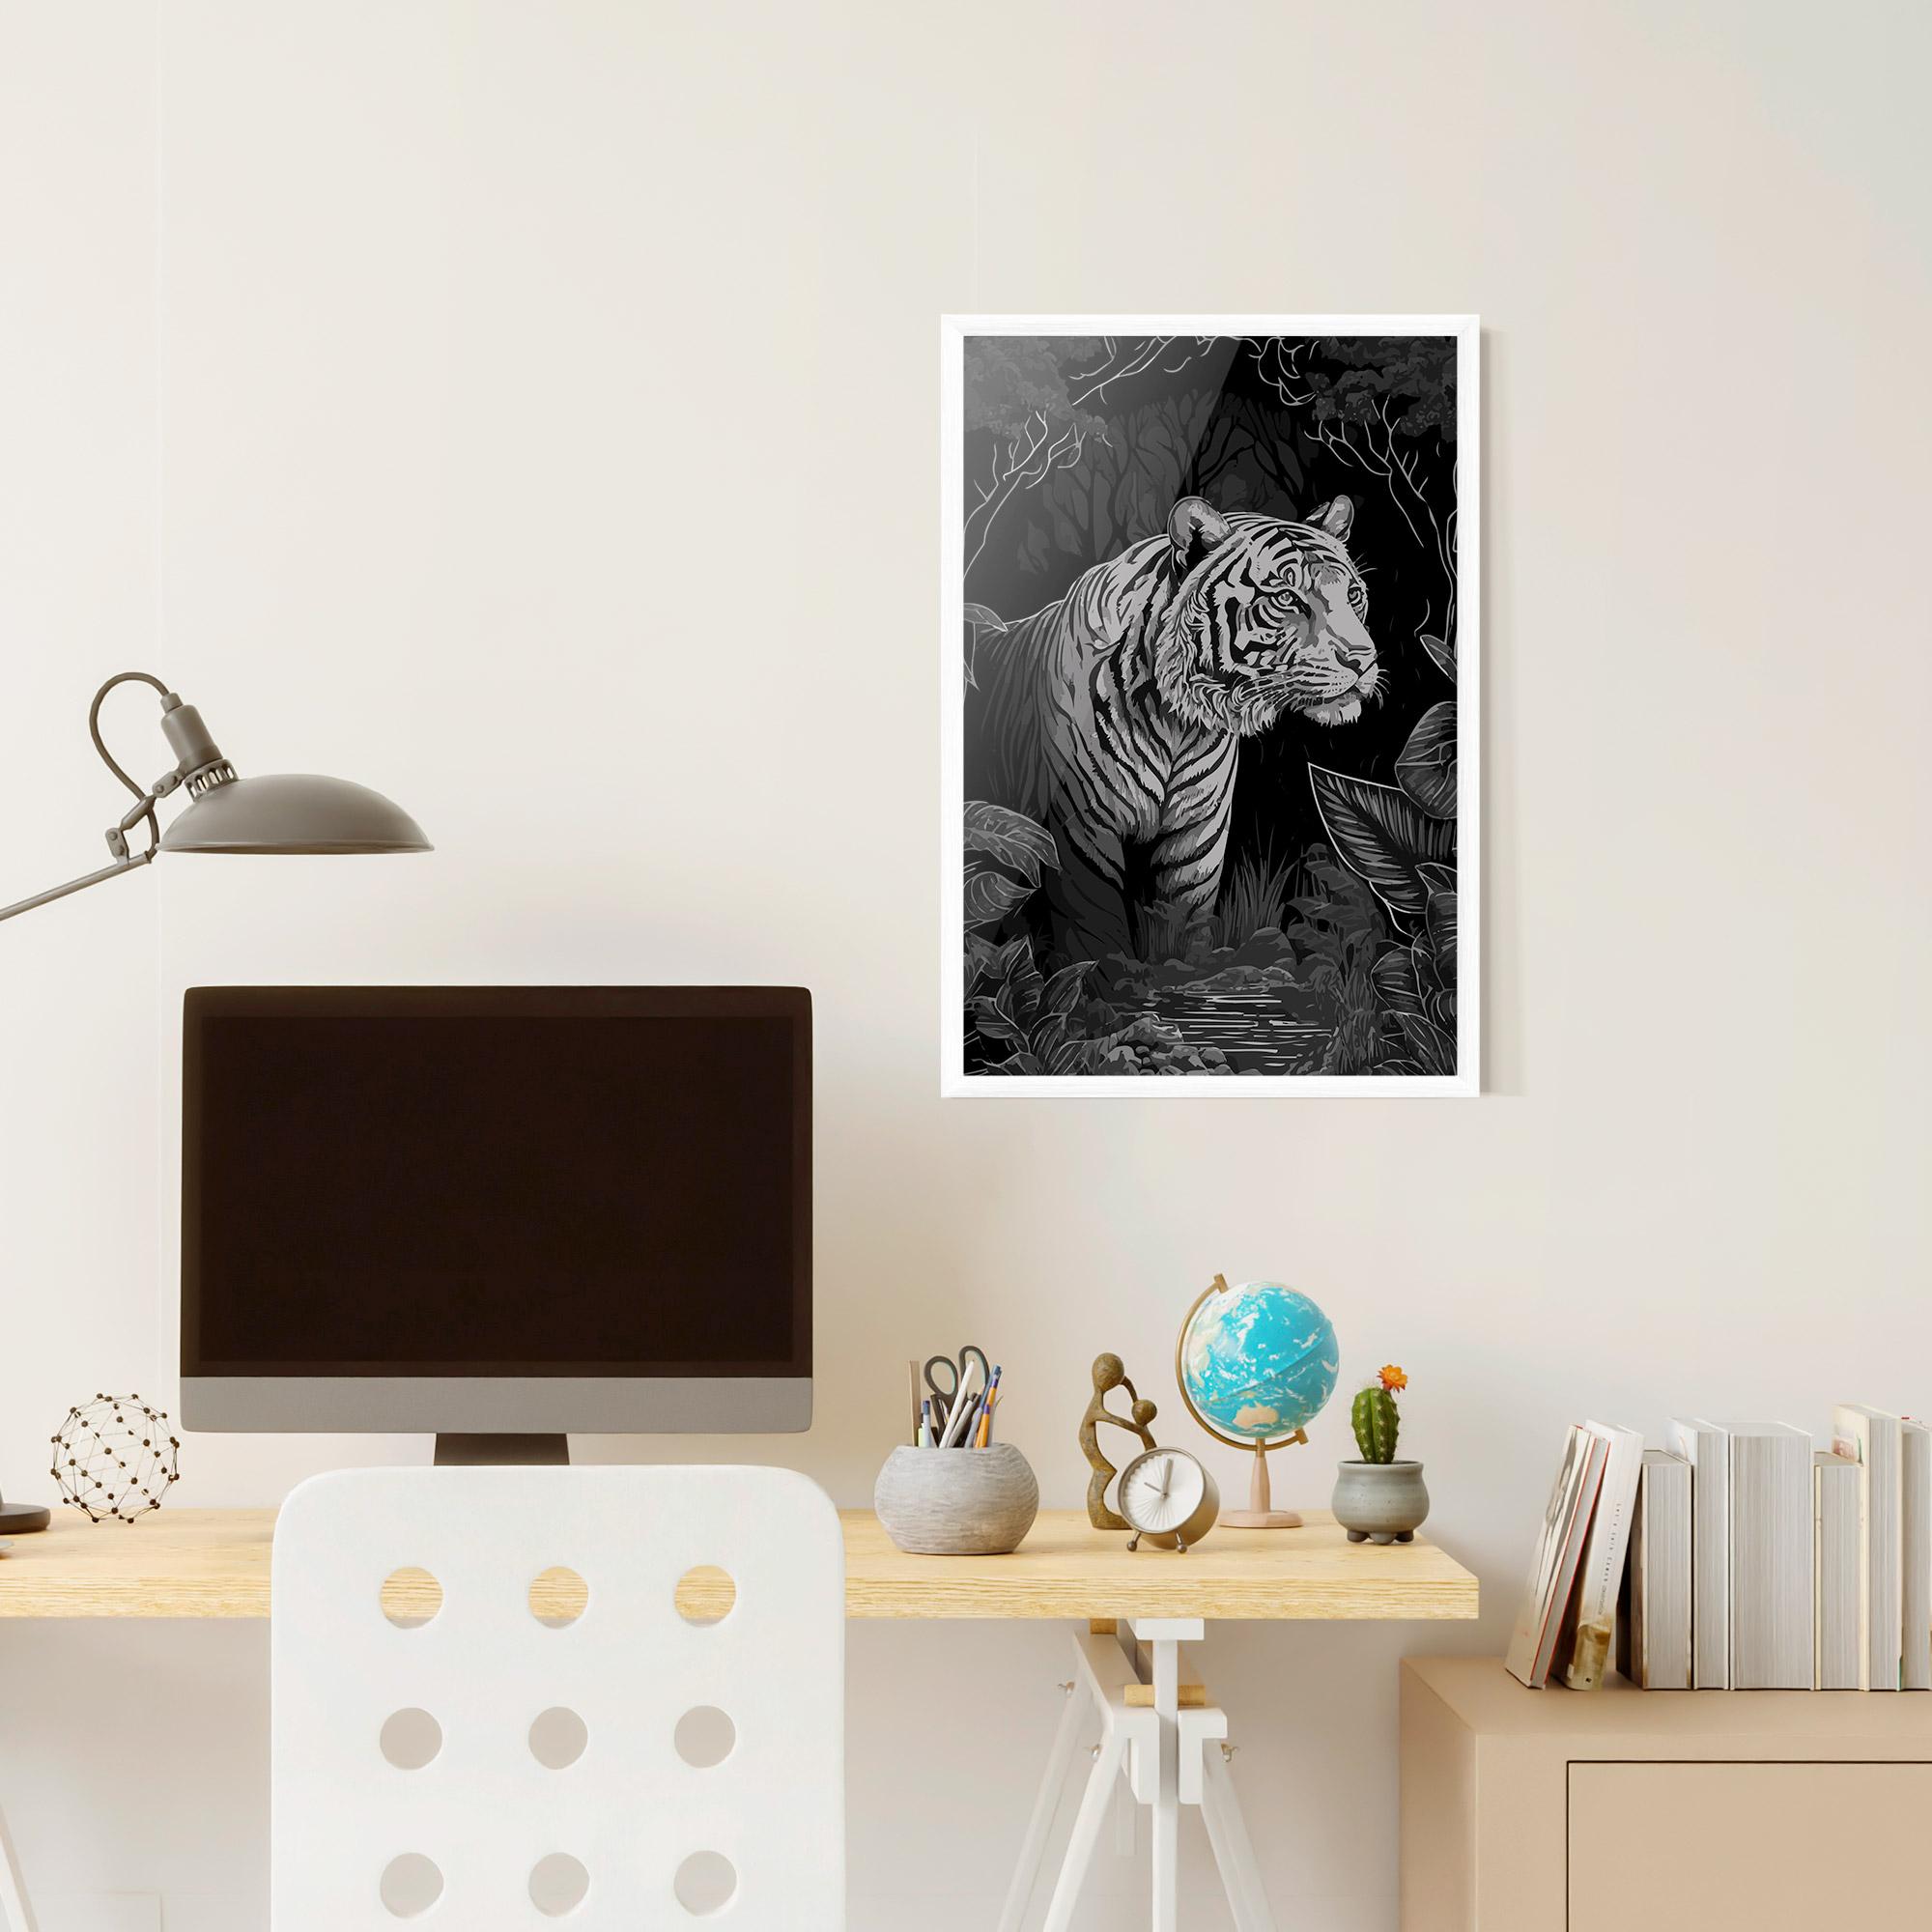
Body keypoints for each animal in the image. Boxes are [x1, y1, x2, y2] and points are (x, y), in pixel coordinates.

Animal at [965, 494, 1379, 964]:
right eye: (1287, 598)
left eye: (1353, 595)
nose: (1363, 659)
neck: (1177, 723)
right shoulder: (1082, 831)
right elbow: (1095, 936)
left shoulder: (1198, 835)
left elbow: (1185, 925)